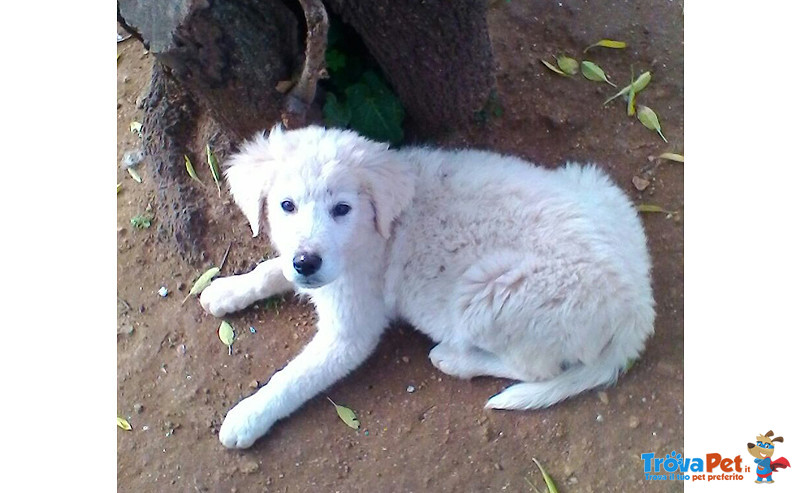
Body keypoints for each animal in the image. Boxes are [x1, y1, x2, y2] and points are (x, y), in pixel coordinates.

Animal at [200, 125, 656, 448]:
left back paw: (454, 358)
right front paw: (226, 290)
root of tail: (638, 311)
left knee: (536, 369)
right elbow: (272, 269)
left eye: (342, 209)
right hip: (591, 181)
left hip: (487, 292)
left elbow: (293, 377)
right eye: (286, 206)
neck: (373, 230)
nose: (307, 262)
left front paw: (248, 417)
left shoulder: (350, 333)